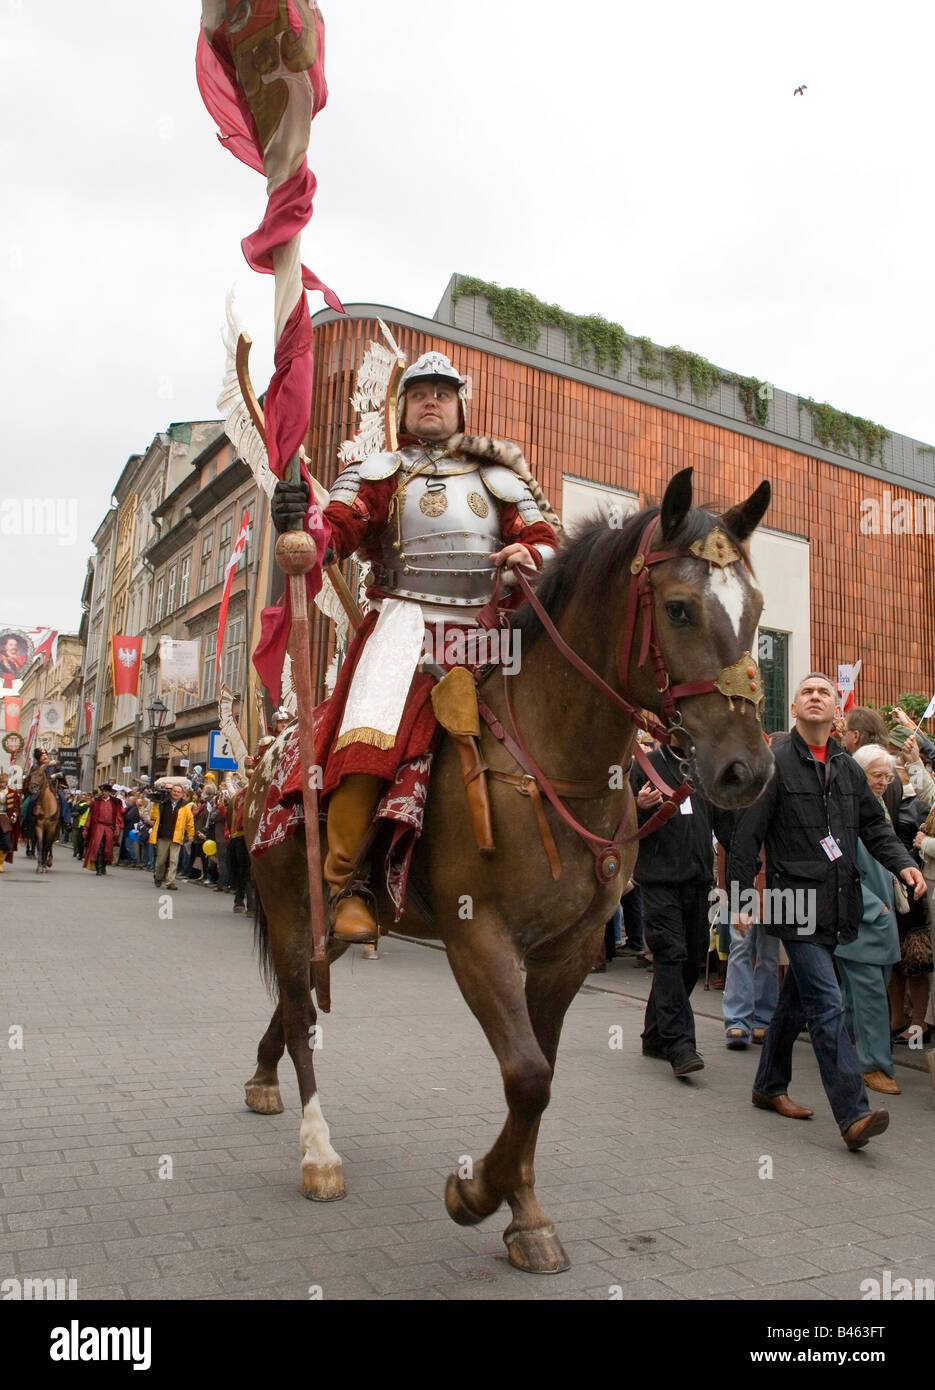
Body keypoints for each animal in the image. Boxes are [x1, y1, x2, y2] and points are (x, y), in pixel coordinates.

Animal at [244, 472, 778, 1273]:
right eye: (679, 607)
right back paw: (318, 1154)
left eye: (756, 610)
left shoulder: (570, 949)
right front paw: (475, 1194)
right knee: (304, 1014)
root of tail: (269, 757)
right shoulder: (478, 939)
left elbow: (541, 1075)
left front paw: (523, 1213)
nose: (745, 770)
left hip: (331, 927)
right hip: (287, 907)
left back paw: (261, 1079)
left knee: (295, 1000)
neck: (553, 757)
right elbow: (527, 1076)